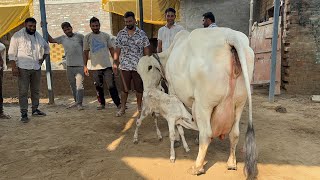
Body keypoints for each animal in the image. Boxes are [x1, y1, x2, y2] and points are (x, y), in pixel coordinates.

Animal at [138, 27, 258, 179]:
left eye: (149, 67)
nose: (146, 92)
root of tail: (230, 36)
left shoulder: (173, 91)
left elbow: (179, 123)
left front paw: (178, 139)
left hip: (204, 104)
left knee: (206, 134)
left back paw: (197, 167)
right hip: (239, 104)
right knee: (234, 133)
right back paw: (231, 162)